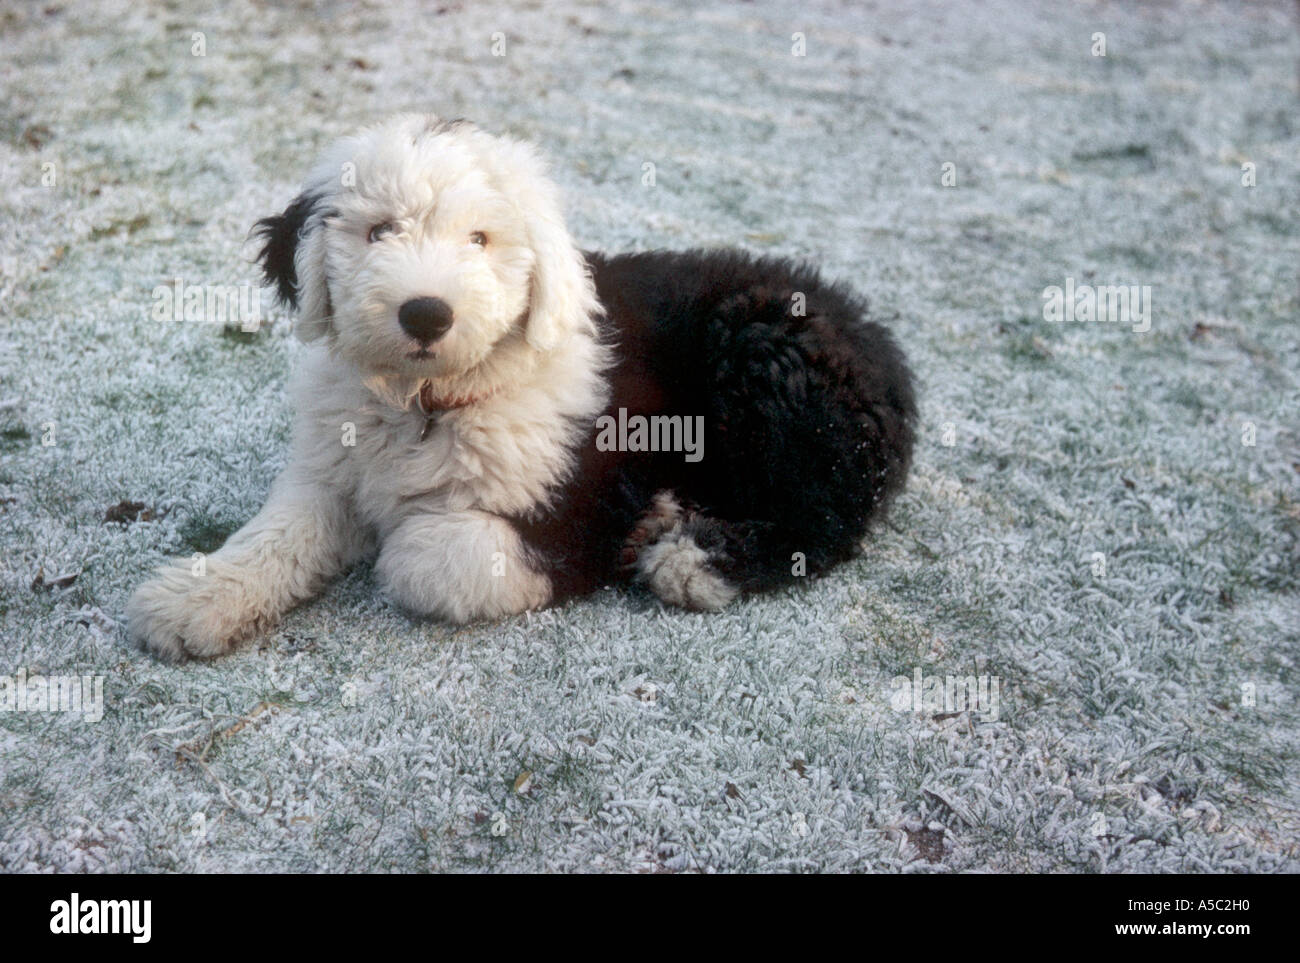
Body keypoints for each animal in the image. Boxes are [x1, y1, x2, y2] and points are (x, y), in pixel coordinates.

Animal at [124, 112, 915, 660]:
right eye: (379, 231)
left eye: (479, 239)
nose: (425, 312)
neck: (428, 403)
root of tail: (873, 332)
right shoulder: (331, 469)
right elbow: (279, 532)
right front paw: (197, 596)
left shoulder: (576, 506)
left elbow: (424, 552)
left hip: (762, 361)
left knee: (825, 516)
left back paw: (693, 555)